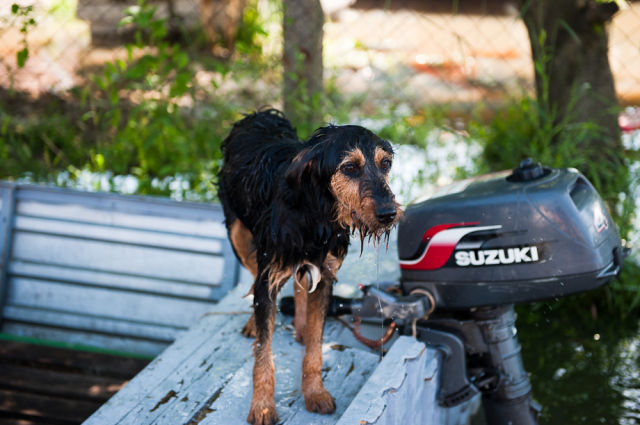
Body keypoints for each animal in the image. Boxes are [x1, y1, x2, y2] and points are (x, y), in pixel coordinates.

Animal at [218, 109, 402, 424]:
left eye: (386, 164)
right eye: (350, 167)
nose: (389, 213)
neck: (316, 213)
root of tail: (259, 114)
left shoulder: (326, 275)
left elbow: (316, 345)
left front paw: (315, 392)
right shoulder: (268, 277)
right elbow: (264, 352)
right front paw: (263, 406)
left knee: (299, 280)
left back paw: (301, 324)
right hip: (238, 234)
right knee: (254, 276)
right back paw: (254, 322)